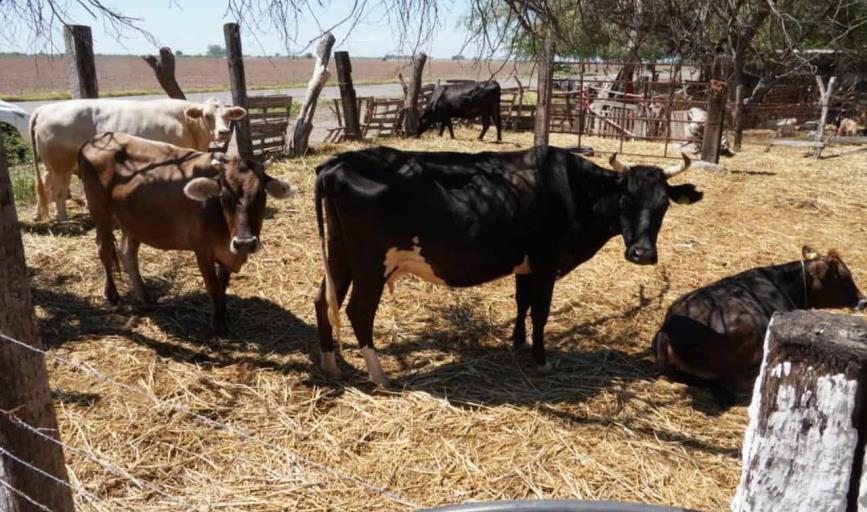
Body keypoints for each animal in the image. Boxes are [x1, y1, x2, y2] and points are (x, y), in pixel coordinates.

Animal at [29, 97, 248, 221]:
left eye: (228, 116)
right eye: (207, 116)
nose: (224, 132)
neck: (187, 122)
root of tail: (44, 109)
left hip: (51, 166)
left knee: (44, 185)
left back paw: (40, 214)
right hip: (61, 165)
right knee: (58, 190)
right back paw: (63, 218)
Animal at [79, 131, 294, 332]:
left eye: (260, 195)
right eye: (224, 197)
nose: (245, 243)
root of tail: (93, 140)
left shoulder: (227, 252)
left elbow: (222, 286)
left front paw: (223, 315)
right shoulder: (202, 251)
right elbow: (213, 287)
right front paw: (218, 324)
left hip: (132, 222)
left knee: (128, 255)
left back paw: (146, 298)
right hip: (99, 210)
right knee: (104, 250)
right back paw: (113, 295)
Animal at [314, 144, 704, 384]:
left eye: (663, 205)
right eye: (625, 199)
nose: (643, 254)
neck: (573, 188)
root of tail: (339, 162)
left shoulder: (526, 264)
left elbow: (522, 303)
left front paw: (517, 342)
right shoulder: (546, 262)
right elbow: (540, 311)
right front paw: (542, 360)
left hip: (339, 256)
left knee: (322, 302)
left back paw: (332, 366)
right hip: (370, 264)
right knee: (358, 311)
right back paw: (379, 376)